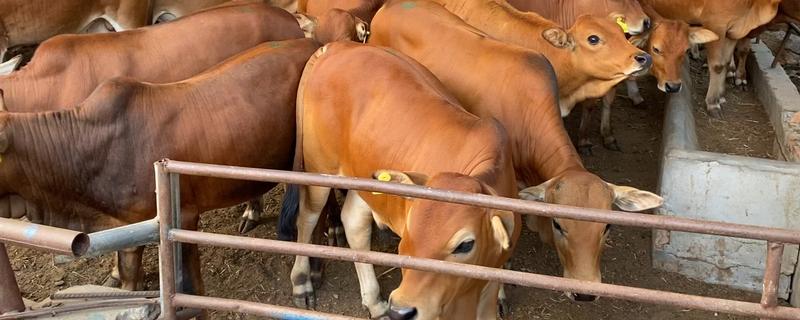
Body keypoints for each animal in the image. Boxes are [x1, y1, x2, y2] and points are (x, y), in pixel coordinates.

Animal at [284, 41, 520, 318]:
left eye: (465, 245)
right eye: (408, 231)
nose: (401, 310)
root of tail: (337, 47)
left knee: (353, 222)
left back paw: (374, 301)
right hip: (319, 167)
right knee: (307, 216)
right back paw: (302, 282)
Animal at [644, 0, 780, 117]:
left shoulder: (732, 28)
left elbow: (726, 62)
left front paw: (720, 95)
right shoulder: (716, 24)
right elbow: (717, 65)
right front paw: (713, 103)